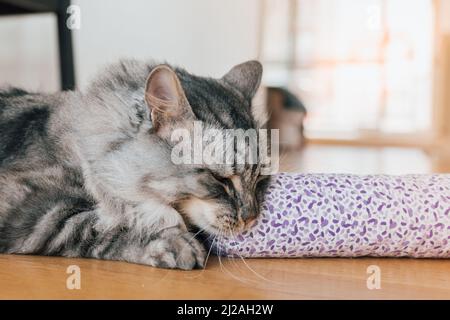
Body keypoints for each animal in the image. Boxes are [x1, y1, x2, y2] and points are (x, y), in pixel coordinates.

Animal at [0, 58, 270, 268]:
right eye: (220, 179)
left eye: (259, 179)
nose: (251, 219)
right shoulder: (35, 209)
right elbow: (104, 225)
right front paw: (176, 245)